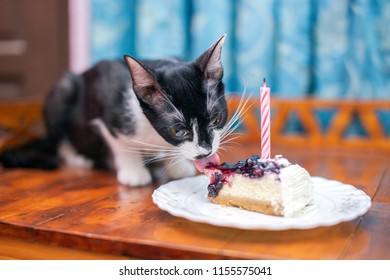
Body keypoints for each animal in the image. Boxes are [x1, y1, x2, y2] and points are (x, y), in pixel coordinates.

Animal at [0, 35, 235, 188]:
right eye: (178, 131)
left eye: (216, 119)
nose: (205, 152)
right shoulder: (108, 107)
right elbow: (120, 142)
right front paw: (134, 172)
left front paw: (176, 164)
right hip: (63, 90)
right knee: (60, 136)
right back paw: (77, 157)